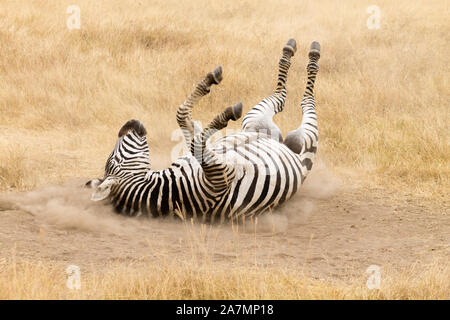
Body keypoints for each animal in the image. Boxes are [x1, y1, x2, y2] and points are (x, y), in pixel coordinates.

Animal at [87, 38, 320, 222]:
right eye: (114, 160)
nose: (129, 123)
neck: (170, 190)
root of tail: (284, 142)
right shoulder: (222, 176)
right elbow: (194, 138)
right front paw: (223, 115)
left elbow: (187, 122)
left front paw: (214, 100)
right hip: (305, 138)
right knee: (299, 101)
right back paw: (311, 56)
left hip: (254, 122)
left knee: (281, 96)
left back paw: (291, 50)